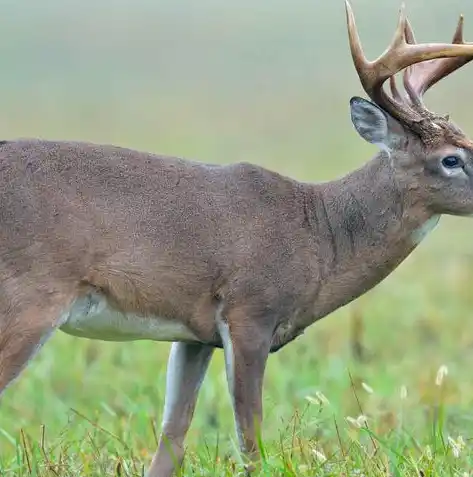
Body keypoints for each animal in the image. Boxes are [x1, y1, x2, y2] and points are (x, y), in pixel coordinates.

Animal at [0, 0, 472, 474]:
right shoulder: (250, 311)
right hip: (29, 296)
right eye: (451, 159)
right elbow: (251, 442)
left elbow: (172, 441)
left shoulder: (194, 335)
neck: (320, 236)